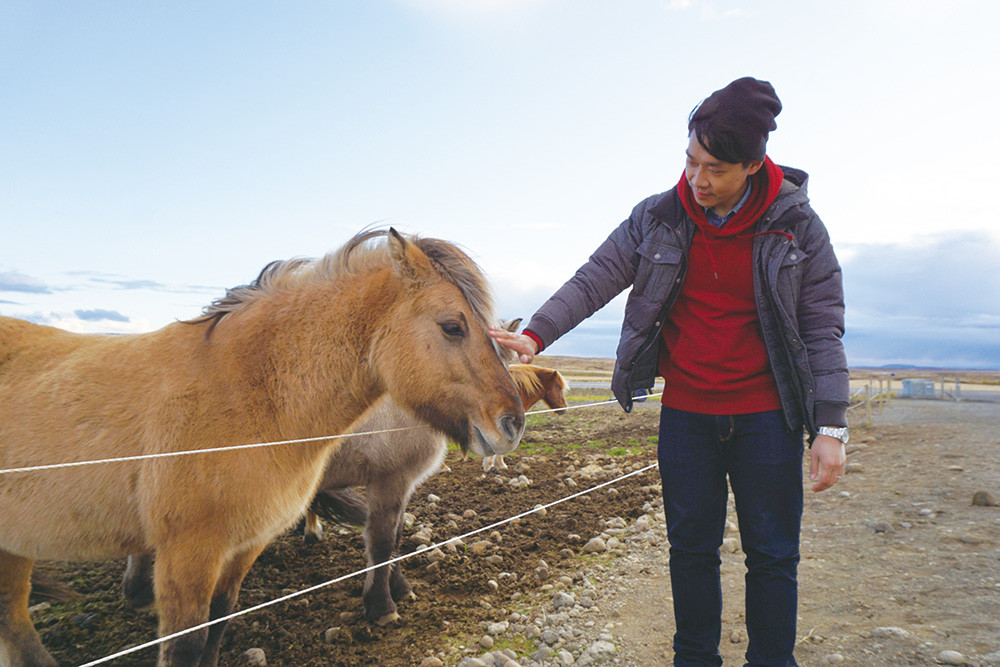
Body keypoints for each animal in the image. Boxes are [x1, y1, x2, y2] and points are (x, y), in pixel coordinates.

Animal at [0, 230, 520, 667]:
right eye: (452, 326)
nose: (511, 423)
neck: (245, 392)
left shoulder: (247, 541)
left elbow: (221, 617)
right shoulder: (191, 553)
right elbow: (382, 542)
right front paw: (383, 604)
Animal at [121, 362, 568, 628]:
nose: (511, 425)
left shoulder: (394, 485)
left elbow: (390, 538)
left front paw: (397, 587)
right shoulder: (390, 479)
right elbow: (383, 541)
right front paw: (382, 606)